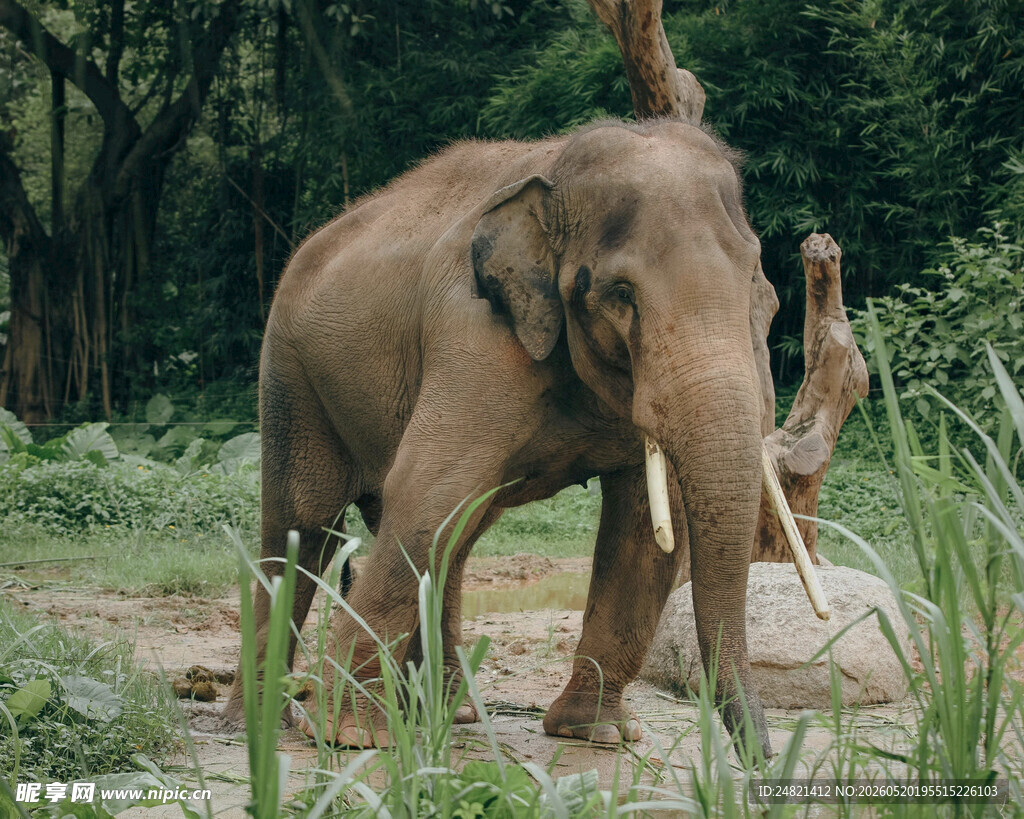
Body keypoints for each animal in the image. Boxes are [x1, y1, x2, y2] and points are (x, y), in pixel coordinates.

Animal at [223, 117, 774, 758]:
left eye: (758, 285)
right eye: (621, 293)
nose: (762, 760)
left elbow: (646, 529)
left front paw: (598, 732)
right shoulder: (473, 332)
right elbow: (428, 487)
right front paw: (349, 735)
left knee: (453, 535)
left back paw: (441, 713)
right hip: (290, 375)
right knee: (302, 527)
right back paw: (259, 724)